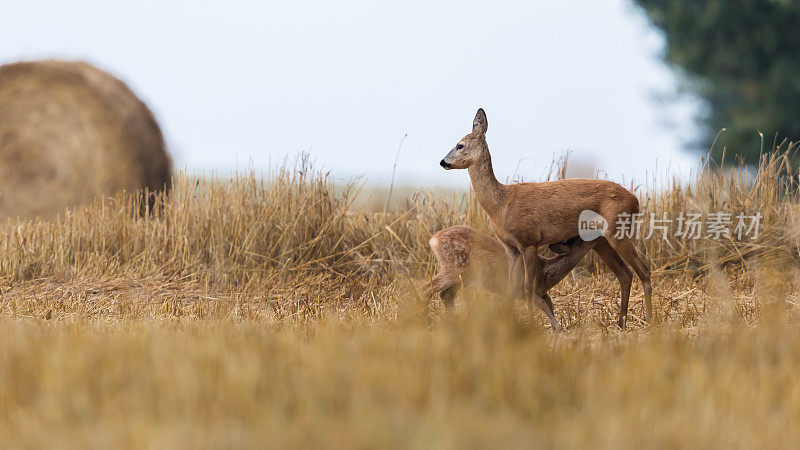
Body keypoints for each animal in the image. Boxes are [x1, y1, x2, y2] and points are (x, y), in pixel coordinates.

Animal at [440, 107, 652, 328]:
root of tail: (635, 200)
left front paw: (532, 325)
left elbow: (528, 287)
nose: (443, 162)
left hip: (616, 231)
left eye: (459, 145)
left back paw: (650, 321)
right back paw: (621, 323)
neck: (501, 204)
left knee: (644, 270)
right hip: (601, 240)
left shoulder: (529, 241)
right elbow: (510, 288)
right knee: (625, 274)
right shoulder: (512, 247)